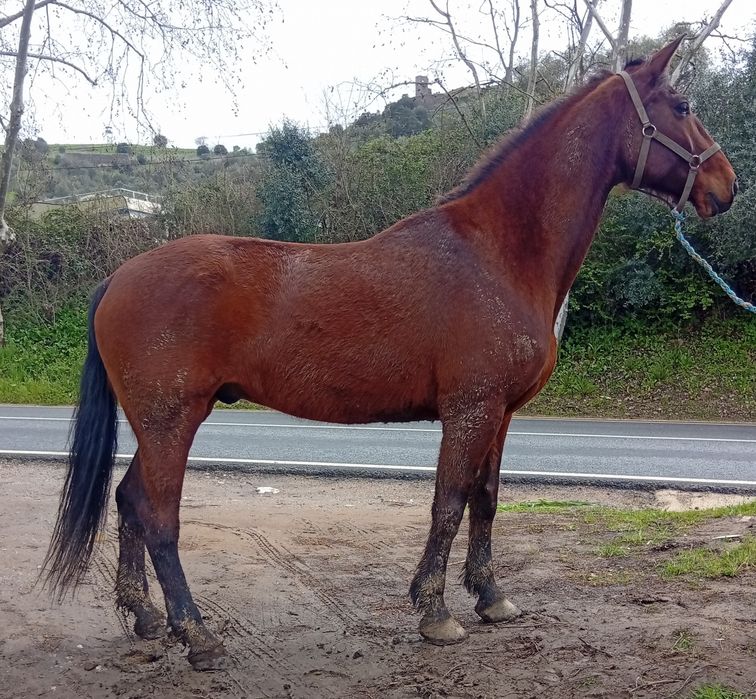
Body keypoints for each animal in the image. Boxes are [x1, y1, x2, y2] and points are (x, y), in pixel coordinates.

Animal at [43, 37, 736, 670]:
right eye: (681, 105)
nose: (726, 186)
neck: (498, 253)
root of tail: (119, 277)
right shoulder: (470, 409)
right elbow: (449, 501)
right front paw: (435, 612)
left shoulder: (500, 415)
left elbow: (485, 498)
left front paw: (491, 598)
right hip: (172, 421)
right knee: (159, 516)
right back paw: (198, 635)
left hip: (160, 423)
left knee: (129, 501)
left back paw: (144, 618)